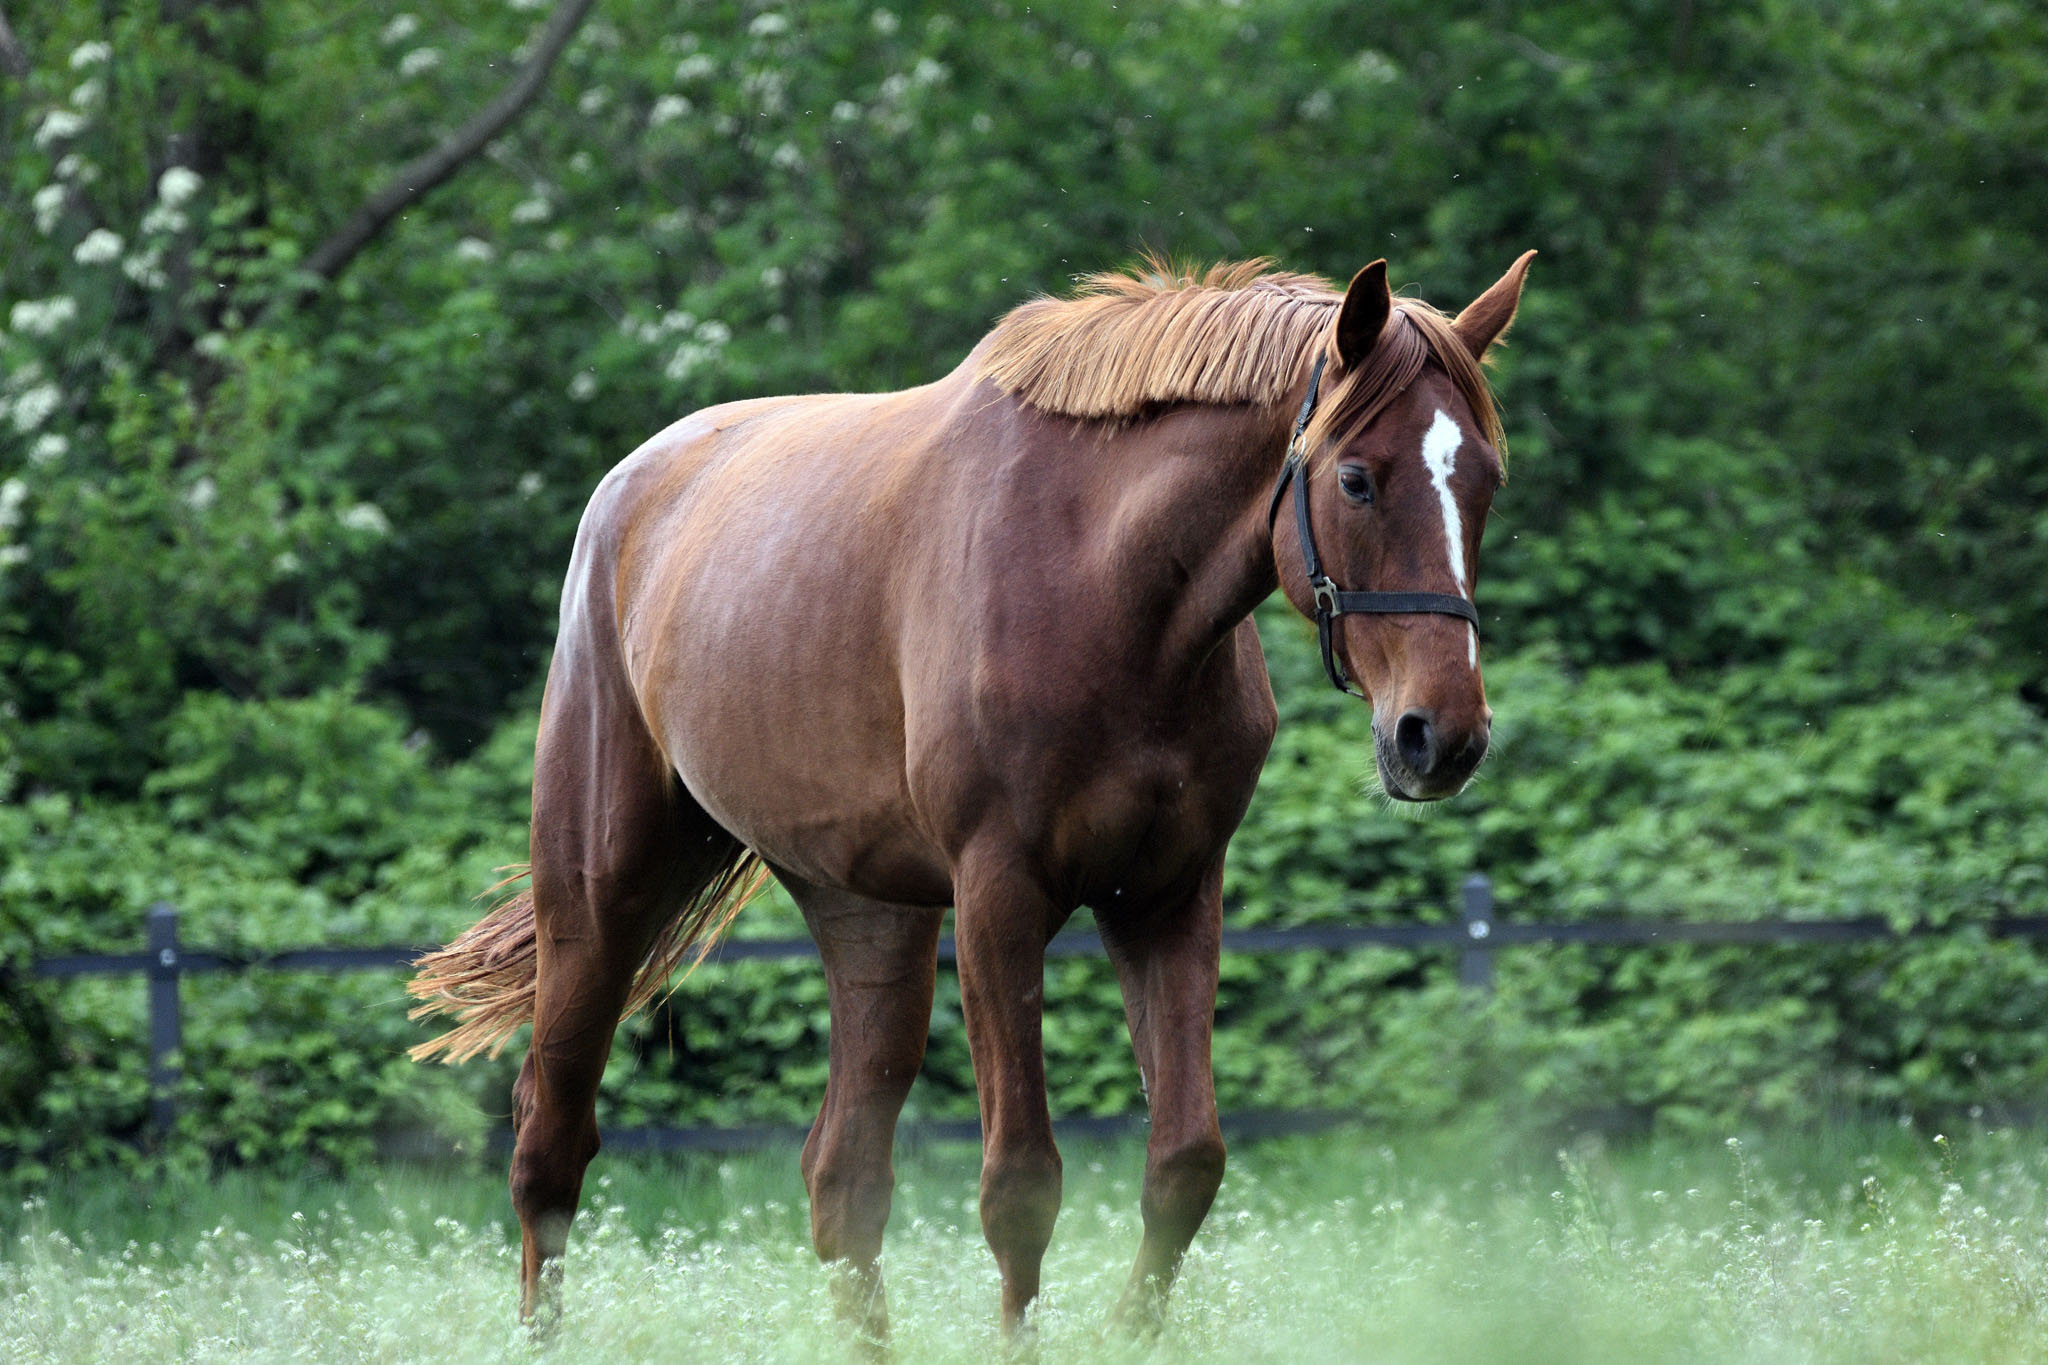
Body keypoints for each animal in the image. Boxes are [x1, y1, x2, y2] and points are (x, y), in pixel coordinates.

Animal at [407, 253, 1540, 1342]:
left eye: (1486, 482)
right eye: (1356, 479)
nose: (1440, 736)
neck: (1104, 589)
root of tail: (629, 490)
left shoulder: (1169, 897)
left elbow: (1184, 1161)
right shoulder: (999, 897)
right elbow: (1020, 1184)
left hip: (870, 921)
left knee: (843, 1177)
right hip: (598, 898)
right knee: (551, 1148)